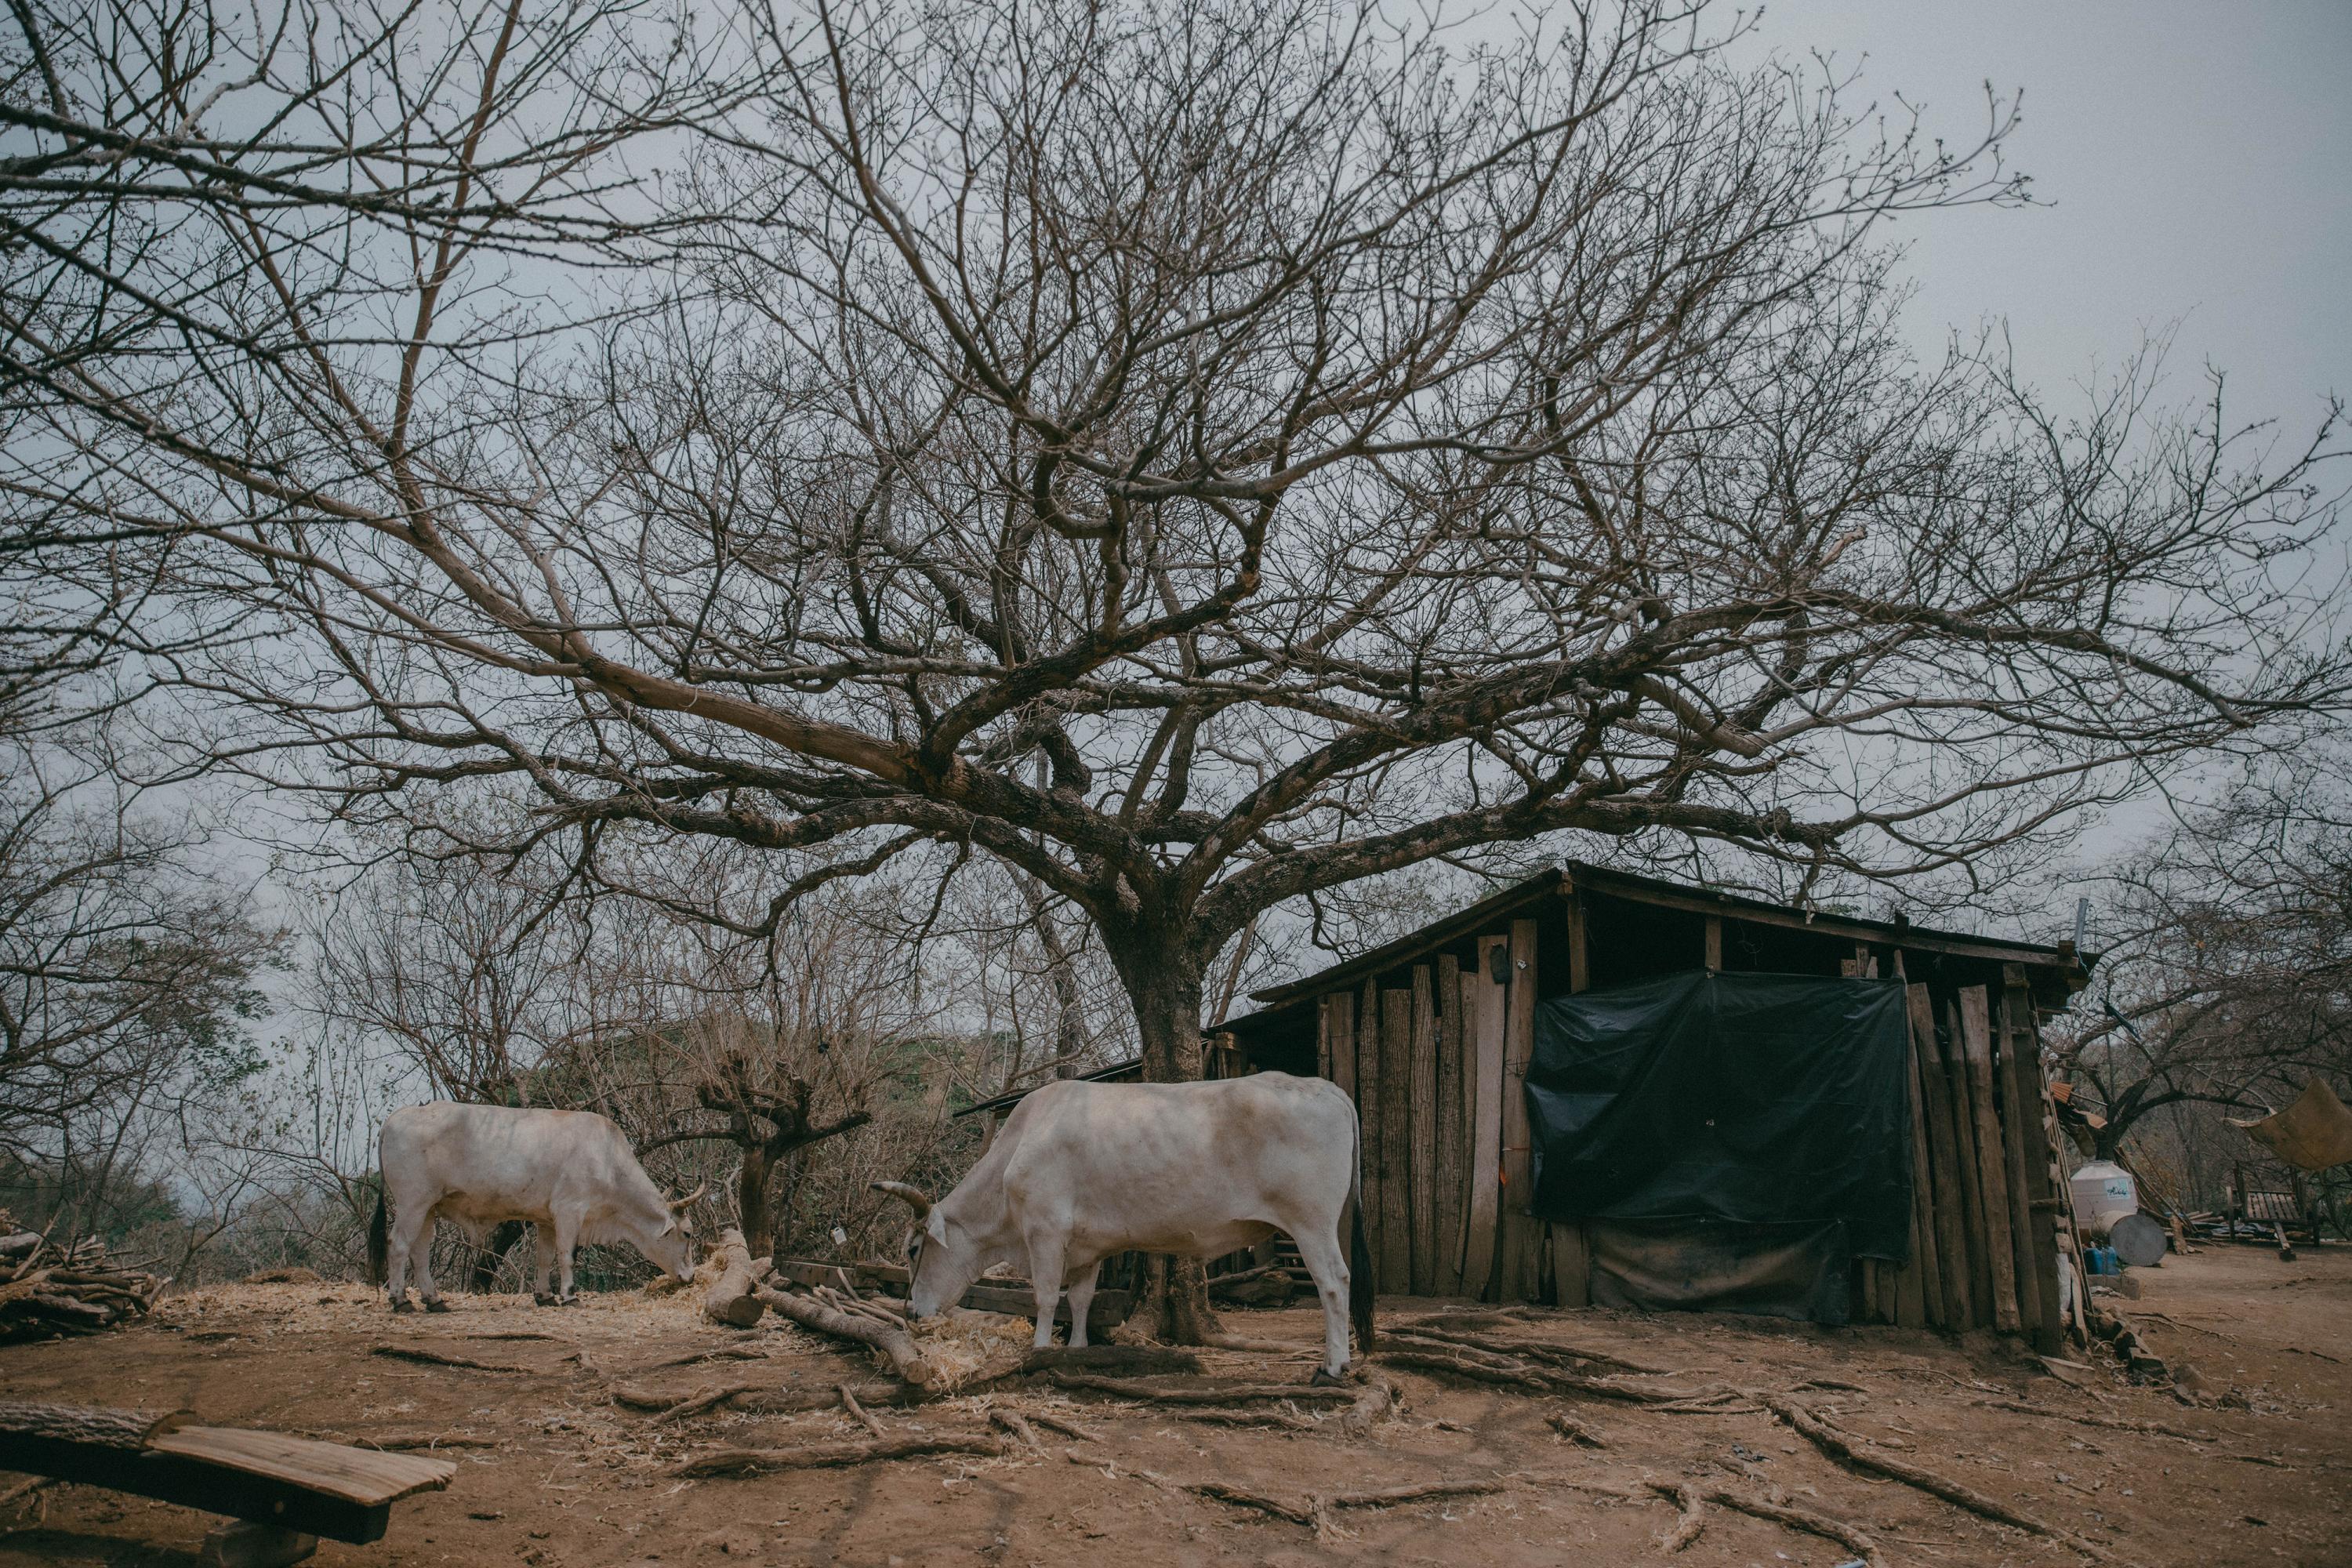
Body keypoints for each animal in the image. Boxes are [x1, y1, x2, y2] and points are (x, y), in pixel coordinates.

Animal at [367, 1105, 706, 1316]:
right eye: (688, 1234)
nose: (690, 1277)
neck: (608, 1160)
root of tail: (399, 1115)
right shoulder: (570, 1211)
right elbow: (566, 1256)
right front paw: (569, 1296)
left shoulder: (546, 1220)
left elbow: (544, 1258)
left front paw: (544, 1296)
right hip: (412, 1203)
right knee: (398, 1245)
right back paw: (401, 1300)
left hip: (428, 1208)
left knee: (420, 1251)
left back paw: (434, 1300)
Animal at [875, 1072, 1374, 1382]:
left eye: (913, 1249)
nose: (911, 1313)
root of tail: (1323, 1086)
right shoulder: (1088, 1247)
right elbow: (1079, 1300)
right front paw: (1076, 1350)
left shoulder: (1045, 1232)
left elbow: (1045, 1297)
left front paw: (1040, 1351)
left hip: (1311, 1224)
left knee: (1334, 1283)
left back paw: (1332, 1367)